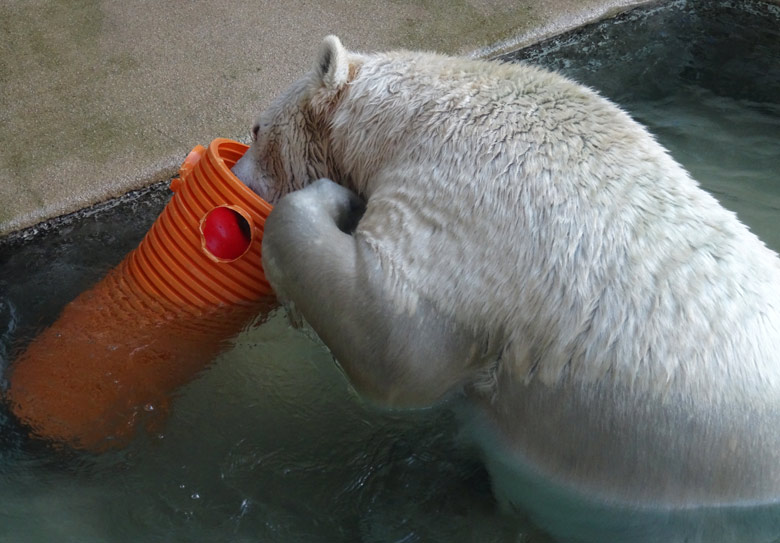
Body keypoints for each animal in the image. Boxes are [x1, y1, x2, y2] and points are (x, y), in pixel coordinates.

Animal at [235, 36, 780, 540]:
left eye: (256, 130)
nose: (236, 175)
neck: (411, 115)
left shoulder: (468, 198)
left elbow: (395, 342)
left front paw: (327, 201)